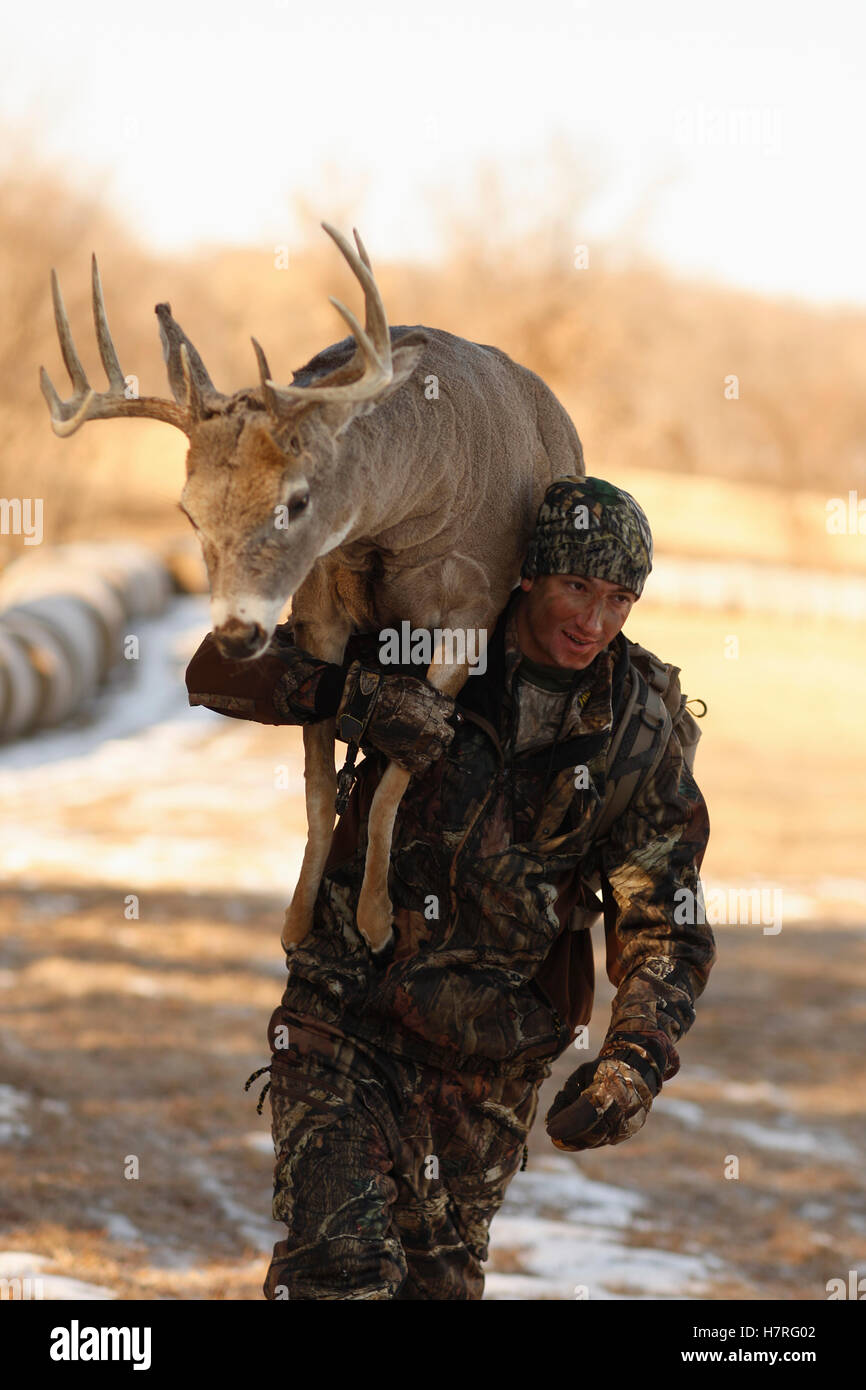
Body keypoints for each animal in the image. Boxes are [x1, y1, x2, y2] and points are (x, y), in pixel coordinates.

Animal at [38, 225, 583, 956]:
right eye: (188, 509)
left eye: (296, 501)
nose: (236, 631)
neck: (394, 523)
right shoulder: (318, 611)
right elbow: (321, 783)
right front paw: (299, 919)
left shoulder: (471, 610)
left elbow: (393, 779)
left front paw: (377, 920)